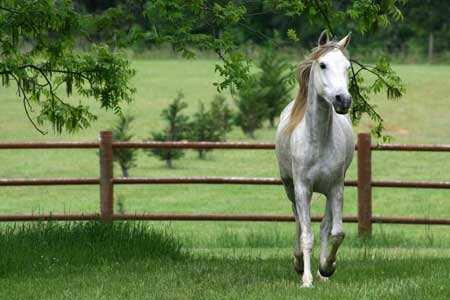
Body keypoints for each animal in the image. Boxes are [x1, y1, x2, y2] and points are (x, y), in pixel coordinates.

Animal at [274, 31, 356, 288]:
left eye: (347, 67)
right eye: (323, 64)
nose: (343, 100)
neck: (318, 141)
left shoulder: (336, 188)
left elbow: (335, 232)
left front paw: (326, 267)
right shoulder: (303, 189)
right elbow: (306, 234)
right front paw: (307, 279)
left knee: (325, 226)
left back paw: (321, 272)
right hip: (290, 188)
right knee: (298, 221)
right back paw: (299, 262)